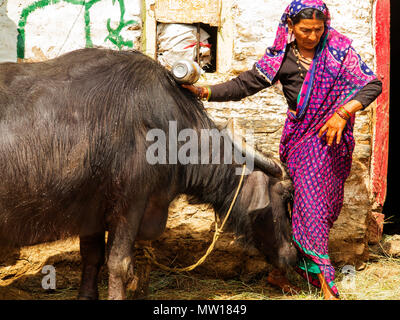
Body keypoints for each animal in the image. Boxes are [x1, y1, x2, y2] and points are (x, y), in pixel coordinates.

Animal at [0, 48, 296, 300]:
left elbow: (92, 257)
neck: (167, 133)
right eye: (285, 196)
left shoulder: (91, 210)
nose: (292, 255)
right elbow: (119, 264)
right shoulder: (130, 203)